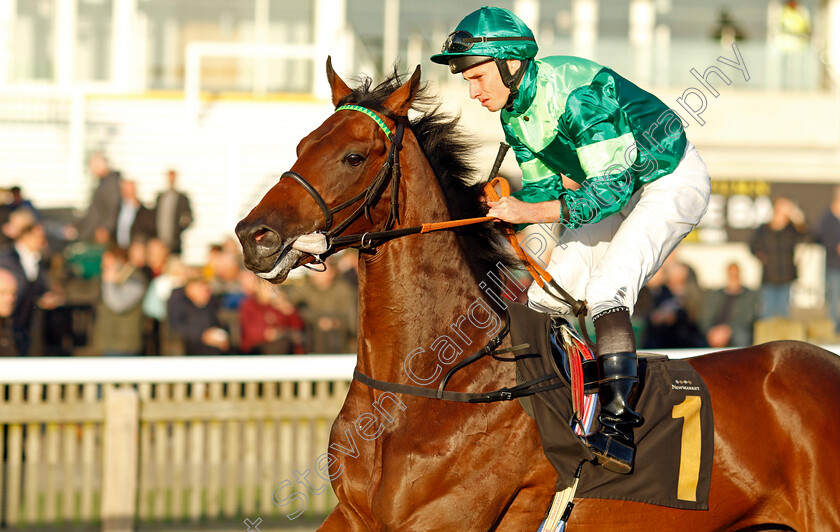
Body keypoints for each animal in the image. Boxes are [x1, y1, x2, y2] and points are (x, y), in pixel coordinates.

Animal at [235, 60, 840, 528]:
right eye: (302, 144)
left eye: (355, 156)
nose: (253, 235)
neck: (431, 382)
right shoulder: (355, 516)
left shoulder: (443, 518)